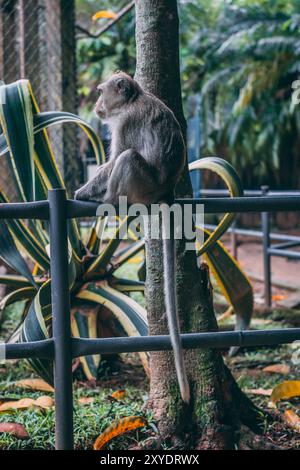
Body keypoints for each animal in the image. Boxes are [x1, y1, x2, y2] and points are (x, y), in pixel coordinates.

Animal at [74, 71, 190, 402]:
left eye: (101, 91)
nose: (97, 104)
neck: (132, 101)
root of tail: (165, 191)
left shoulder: (125, 122)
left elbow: (115, 160)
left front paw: (83, 191)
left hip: (142, 185)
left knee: (127, 158)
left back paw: (108, 199)